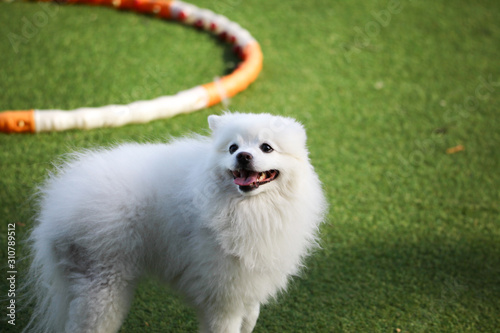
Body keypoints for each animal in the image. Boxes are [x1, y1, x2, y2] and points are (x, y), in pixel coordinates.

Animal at [25, 113, 328, 330]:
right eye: (232, 147)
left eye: (266, 148)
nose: (242, 156)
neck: (252, 208)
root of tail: (55, 205)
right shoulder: (221, 296)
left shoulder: (248, 282)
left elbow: (250, 318)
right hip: (103, 291)